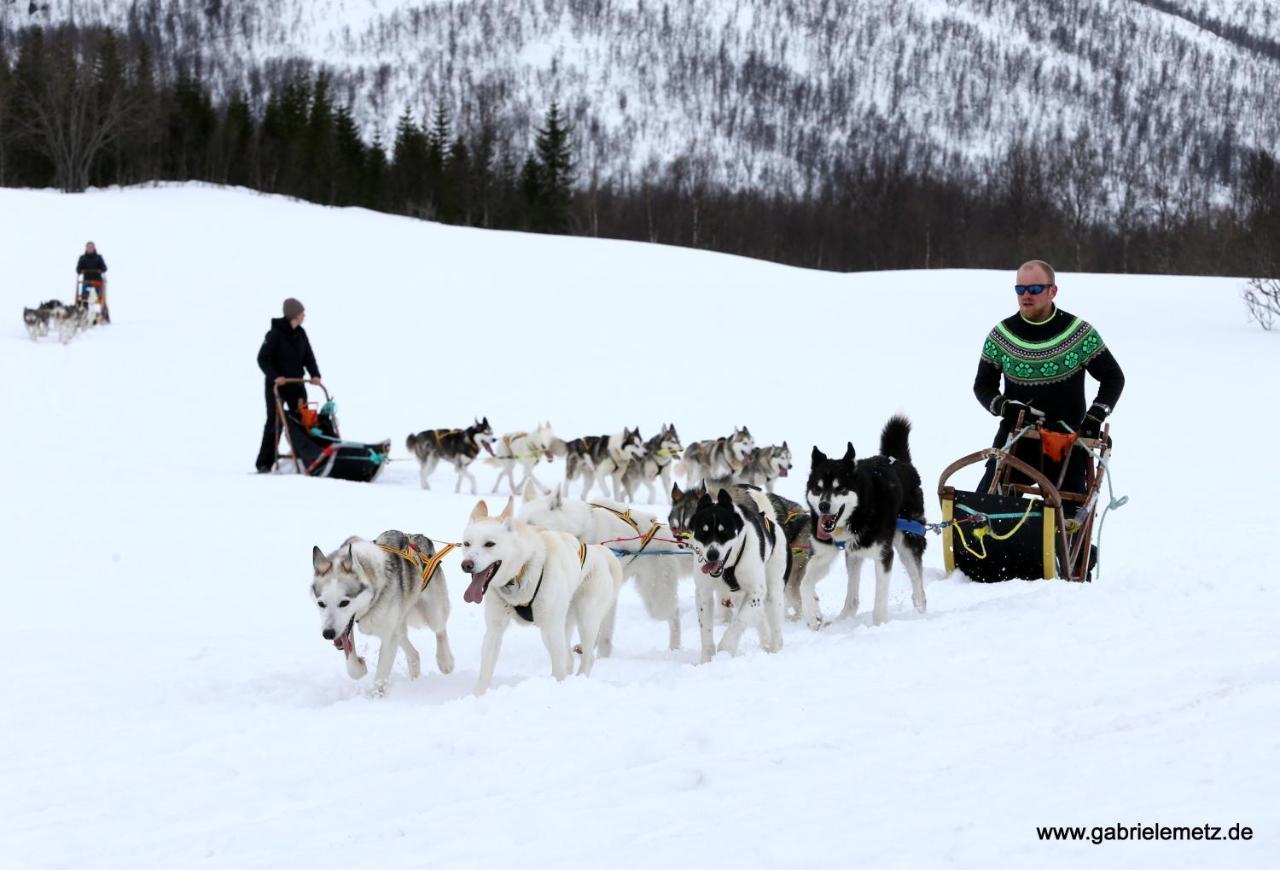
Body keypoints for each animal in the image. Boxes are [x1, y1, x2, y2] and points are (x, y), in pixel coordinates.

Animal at [312, 527, 458, 696]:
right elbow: (352, 664)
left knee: (440, 630)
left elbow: (381, 673)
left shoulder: (389, 636)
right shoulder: (349, 625)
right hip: (398, 625)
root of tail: (420, 538)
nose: (328, 633)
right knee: (413, 653)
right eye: (321, 603)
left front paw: (375, 696)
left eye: (344, 603)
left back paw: (445, 661)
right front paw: (360, 667)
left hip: (431, 612)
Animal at [463, 496, 622, 690]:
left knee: (587, 657)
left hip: (585, 619)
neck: (520, 573)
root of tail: (601, 552)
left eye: (489, 544)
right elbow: (484, 673)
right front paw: (478, 695)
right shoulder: (495, 629)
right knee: (568, 658)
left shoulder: (553, 628)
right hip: (555, 628)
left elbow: (558, 669)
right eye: (467, 544)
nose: (466, 564)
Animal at [517, 483, 691, 652]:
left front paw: (602, 655)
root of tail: (669, 537)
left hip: (656, 598)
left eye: (532, 524)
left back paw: (674, 648)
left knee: (674, 614)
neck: (581, 535)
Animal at [686, 488, 783, 660]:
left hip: (773, 591)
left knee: (775, 625)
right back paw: (765, 643)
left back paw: (775, 649)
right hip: (739, 598)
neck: (727, 568)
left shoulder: (756, 592)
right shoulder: (703, 593)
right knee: (760, 620)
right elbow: (705, 629)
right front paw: (707, 659)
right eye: (702, 532)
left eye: (724, 531)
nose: (712, 554)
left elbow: (738, 623)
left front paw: (725, 650)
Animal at [803, 417, 926, 629]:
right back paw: (843, 618)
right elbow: (804, 583)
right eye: (817, 489)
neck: (857, 515)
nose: (824, 506)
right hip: (853, 555)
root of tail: (897, 459)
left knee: (917, 580)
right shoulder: (824, 553)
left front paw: (880, 625)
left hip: (908, 540)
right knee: (852, 595)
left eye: (840, 488)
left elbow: (880, 599)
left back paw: (920, 610)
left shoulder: (883, 555)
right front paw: (812, 615)